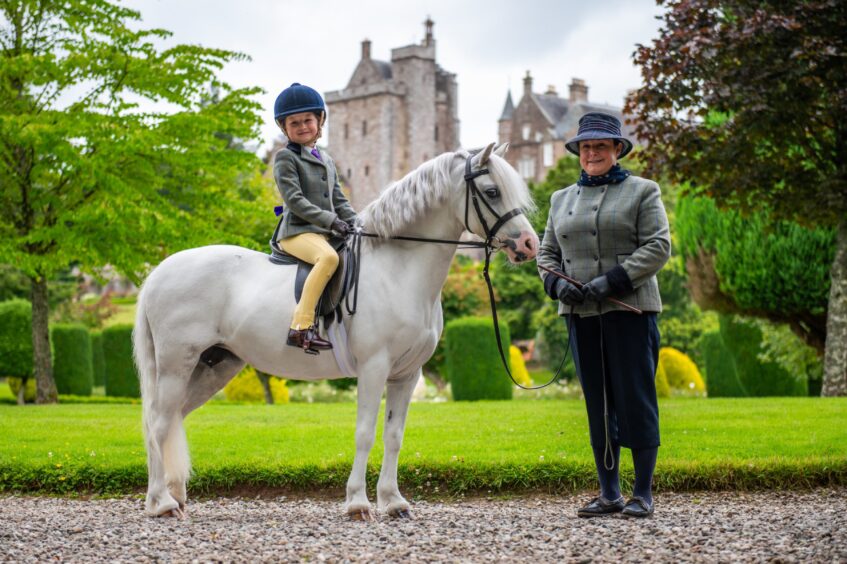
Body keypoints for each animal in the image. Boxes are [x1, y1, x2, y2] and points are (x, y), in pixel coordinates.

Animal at [136, 142, 540, 520]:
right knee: (158, 424)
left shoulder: (407, 374)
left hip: (215, 366)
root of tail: (158, 272)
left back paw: (176, 495)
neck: (398, 269)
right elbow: (365, 434)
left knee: (173, 419)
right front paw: (358, 503)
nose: (528, 244)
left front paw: (393, 502)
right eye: (492, 191)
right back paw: (160, 503)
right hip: (175, 366)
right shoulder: (374, 368)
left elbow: (394, 436)